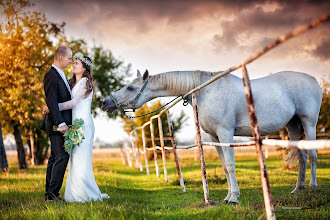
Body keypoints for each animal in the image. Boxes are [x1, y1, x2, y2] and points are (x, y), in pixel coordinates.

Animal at [101, 69, 322, 204]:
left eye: (130, 87)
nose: (105, 103)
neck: (205, 91)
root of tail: (314, 81)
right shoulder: (215, 138)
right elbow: (224, 167)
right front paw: (229, 195)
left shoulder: (225, 133)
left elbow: (230, 165)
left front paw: (233, 198)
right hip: (293, 125)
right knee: (302, 156)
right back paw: (298, 189)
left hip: (309, 123)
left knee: (312, 156)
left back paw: (312, 187)